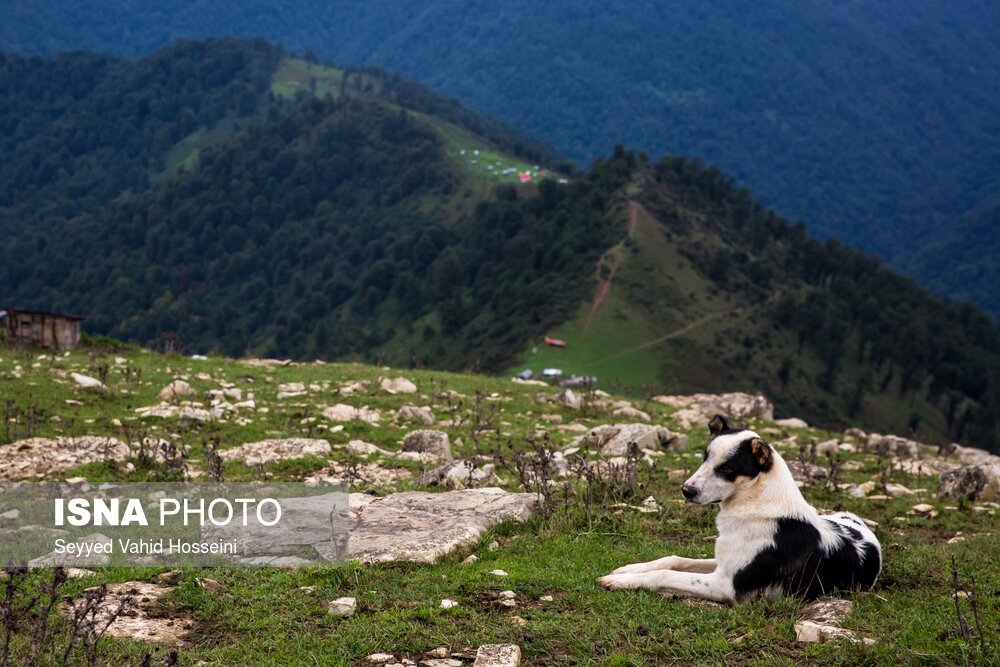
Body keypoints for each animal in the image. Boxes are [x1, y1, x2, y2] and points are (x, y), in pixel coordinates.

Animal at [596, 414, 880, 604]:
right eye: (705, 456)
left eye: (727, 468)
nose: (686, 490)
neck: (756, 503)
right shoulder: (724, 563)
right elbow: (673, 559)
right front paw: (628, 570)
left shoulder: (727, 585)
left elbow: (666, 575)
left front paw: (620, 582)